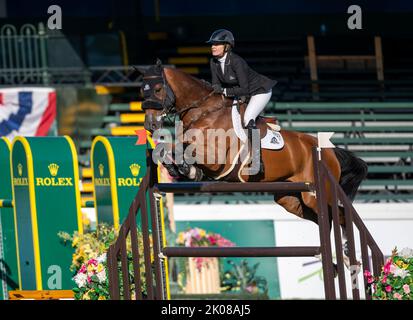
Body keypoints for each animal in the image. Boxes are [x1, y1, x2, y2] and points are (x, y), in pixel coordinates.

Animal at [138, 60, 366, 264]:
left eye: (158, 89)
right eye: (142, 91)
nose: (150, 125)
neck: (203, 111)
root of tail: (327, 150)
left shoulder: (215, 156)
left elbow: (183, 147)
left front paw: (185, 168)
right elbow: (171, 147)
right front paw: (180, 169)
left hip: (316, 194)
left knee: (340, 215)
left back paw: (348, 257)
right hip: (291, 198)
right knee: (325, 219)